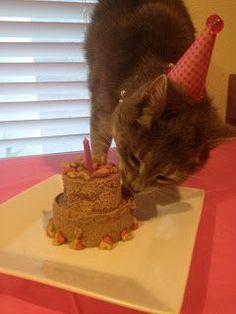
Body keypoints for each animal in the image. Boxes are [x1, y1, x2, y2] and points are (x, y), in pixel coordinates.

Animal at [85, 0, 236, 193]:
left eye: (163, 178)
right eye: (134, 159)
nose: (134, 189)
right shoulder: (102, 105)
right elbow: (99, 132)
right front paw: (98, 161)